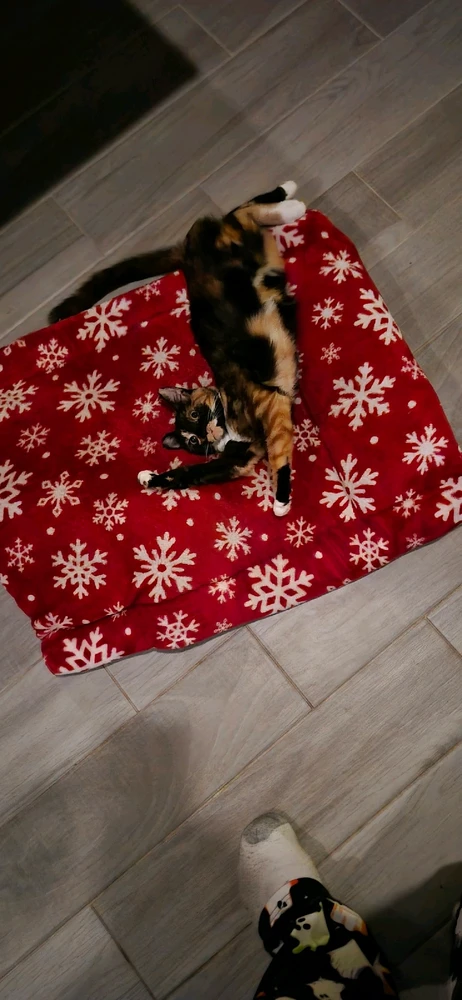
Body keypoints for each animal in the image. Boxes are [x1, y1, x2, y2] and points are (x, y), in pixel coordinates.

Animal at [50, 182, 306, 515]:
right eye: (193, 442)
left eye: (196, 415)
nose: (206, 434)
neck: (229, 426)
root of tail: (186, 253)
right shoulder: (240, 458)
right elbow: (191, 472)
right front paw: (150, 477)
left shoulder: (271, 404)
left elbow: (278, 452)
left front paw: (280, 500)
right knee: (241, 213)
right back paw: (289, 202)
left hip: (238, 245)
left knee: (239, 212)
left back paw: (291, 201)